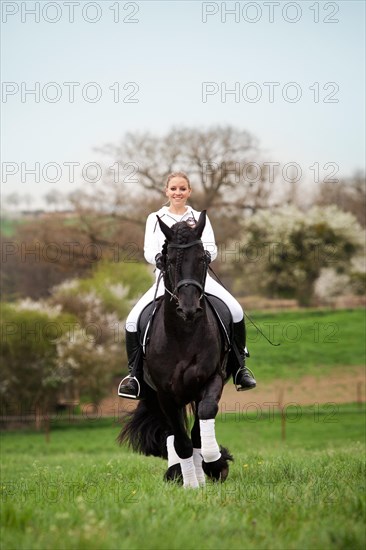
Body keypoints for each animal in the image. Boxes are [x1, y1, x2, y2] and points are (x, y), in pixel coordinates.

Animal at [118, 211, 233, 488]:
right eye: (169, 260)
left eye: (202, 258)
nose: (188, 309)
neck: (184, 334)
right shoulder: (165, 393)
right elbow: (181, 441)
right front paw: (191, 484)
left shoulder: (211, 379)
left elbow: (203, 419)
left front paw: (214, 464)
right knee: (173, 433)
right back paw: (177, 472)